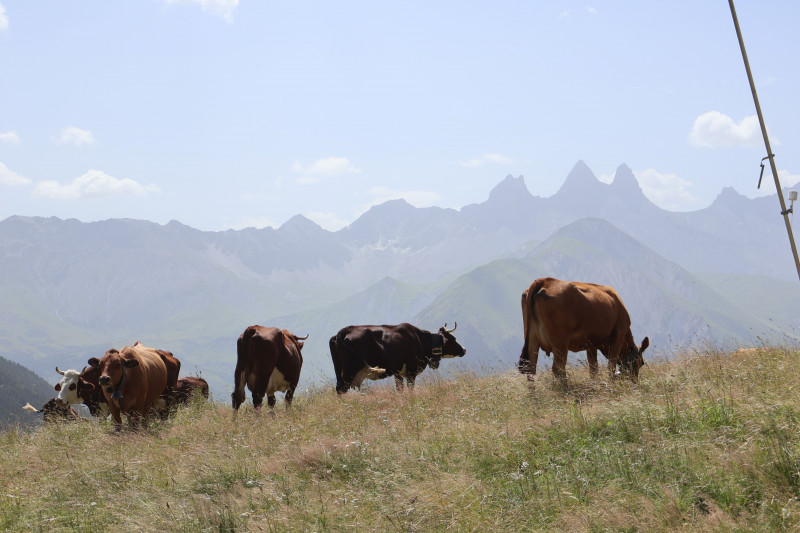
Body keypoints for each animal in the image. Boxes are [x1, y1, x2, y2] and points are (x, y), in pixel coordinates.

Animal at [329, 322, 466, 394]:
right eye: (453, 339)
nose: (464, 349)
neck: (420, 339)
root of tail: (343, 331)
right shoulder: (411, 371)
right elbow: (410, 389)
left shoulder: (398, 373)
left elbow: (399, 389)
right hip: (350, 370)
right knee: (342, 388)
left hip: (339, 369)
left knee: (339, 388)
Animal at [518, 277, 649, 384]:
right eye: (641, 363)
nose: (635, 383)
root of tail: (545, 280)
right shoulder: (619, 334)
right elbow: (610, 366)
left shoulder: (591, 344)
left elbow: (593, 369)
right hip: (560, 342)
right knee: (558, 368)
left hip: (532, 338)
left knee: (530, 369)